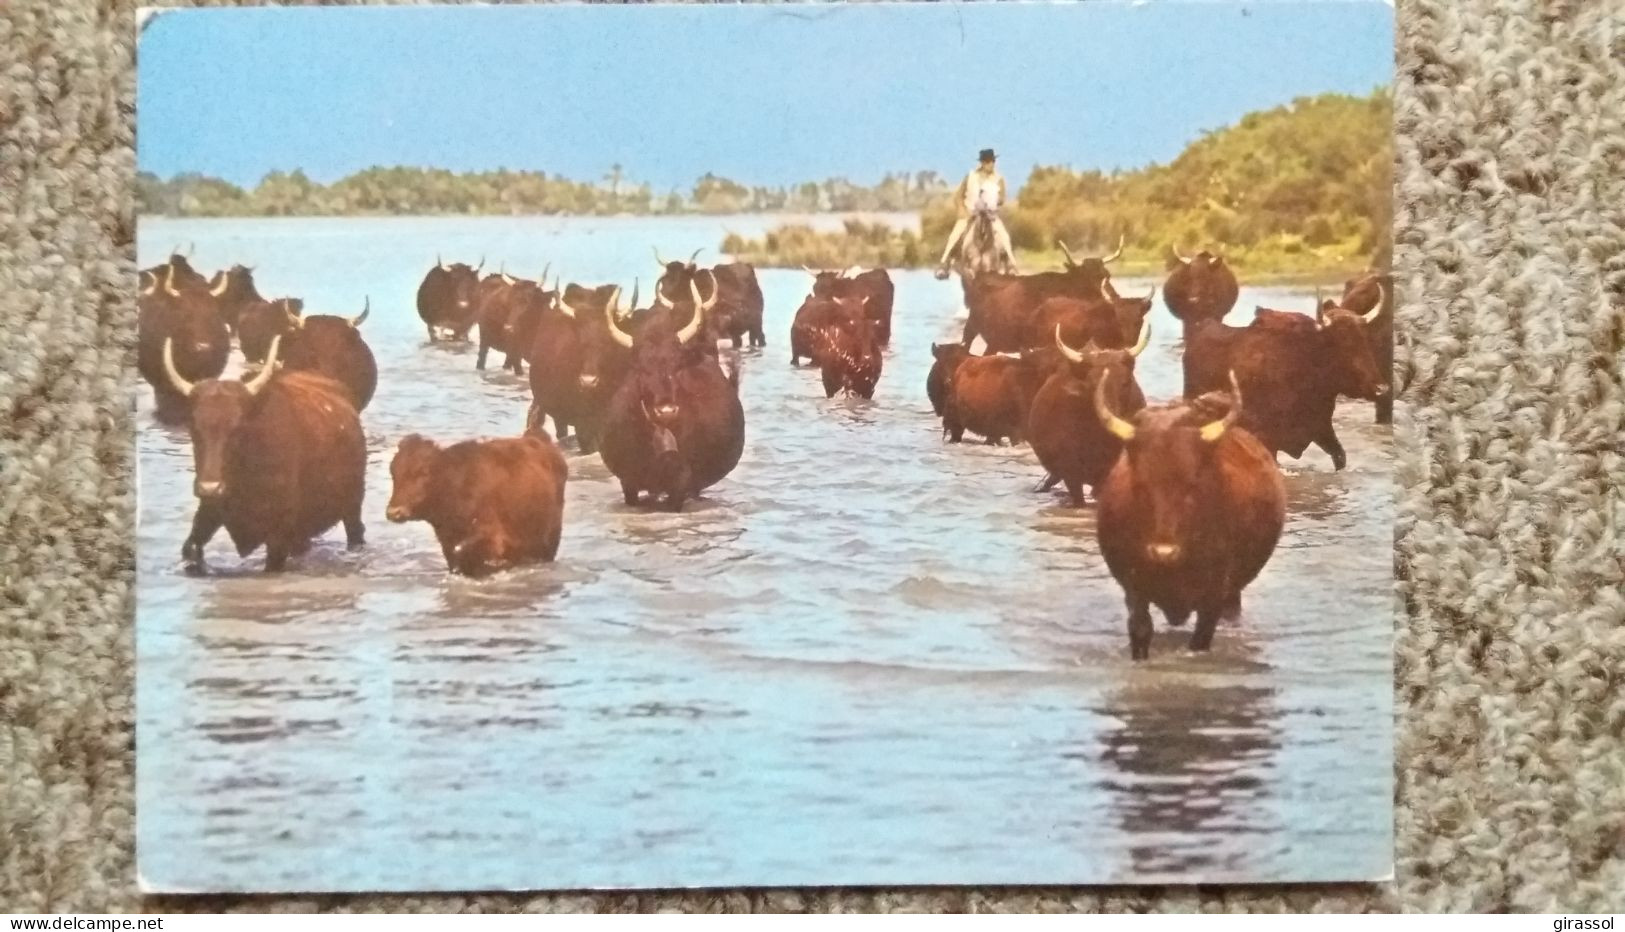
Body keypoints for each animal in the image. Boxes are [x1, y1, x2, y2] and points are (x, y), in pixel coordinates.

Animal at [163, 336, 367, 578]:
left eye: (238, 427)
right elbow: (191, 547)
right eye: (194, 426)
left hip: (352, 508)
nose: (210, 488)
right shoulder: (209, 511)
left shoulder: (279, 536)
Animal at [1098, 375, 1287, 665]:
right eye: (1141, 484)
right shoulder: (1134, 588)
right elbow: (1140, 630)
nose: (1163, 552)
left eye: (1191, 484)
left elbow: (1200, 640)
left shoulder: (1213, 597)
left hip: (1232, 594)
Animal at [1183, 289, 1384, 470]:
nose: (1380, 388)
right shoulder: (1268, 439)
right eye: (1342, 341)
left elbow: (1340, 457)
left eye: (1364, 338)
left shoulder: (1322, 429)